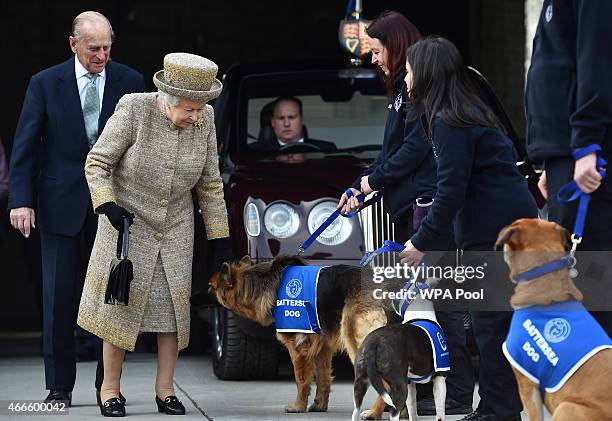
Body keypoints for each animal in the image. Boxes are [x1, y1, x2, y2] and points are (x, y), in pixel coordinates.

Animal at [210, 253, 392, 416]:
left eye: (212, 287)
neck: (265, 282)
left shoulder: (298, 347)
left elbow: (301, 380)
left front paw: (298, 406)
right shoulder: (322, 348)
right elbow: (323, 379)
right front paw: (319, 405)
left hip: (356, 342)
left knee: (385, 384)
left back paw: (374, 413)